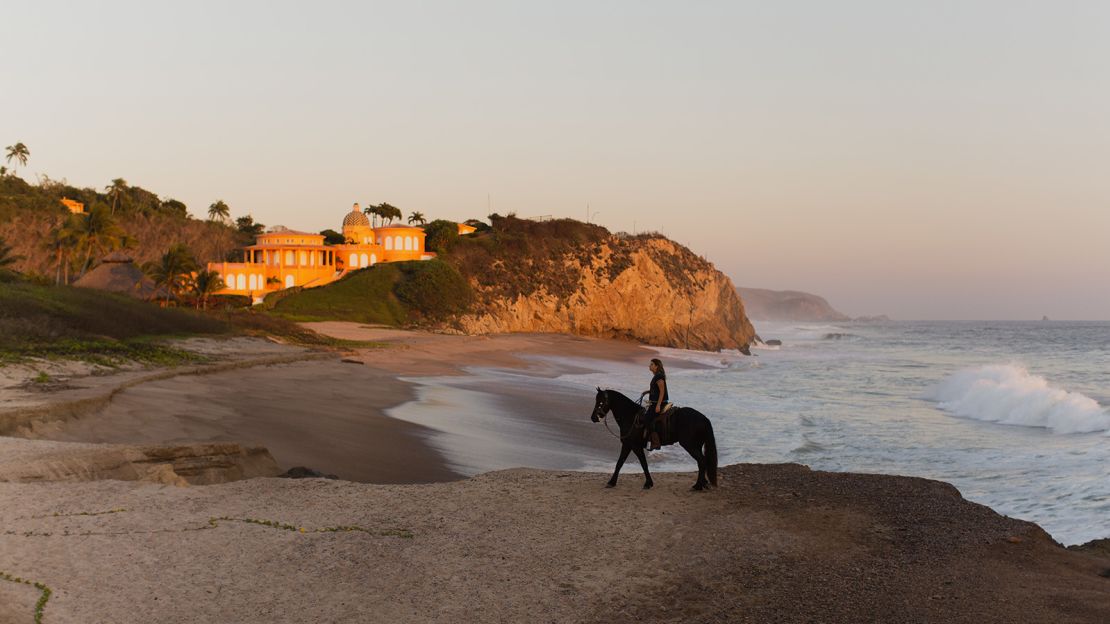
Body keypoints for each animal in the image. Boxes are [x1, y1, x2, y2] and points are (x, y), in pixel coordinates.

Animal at [590, 386, 719, 488]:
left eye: (600, 401)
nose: (593, 418)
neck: (631, 417)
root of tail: (704, 418)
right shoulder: (628, 445)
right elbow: (620, 463)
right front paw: (612, 482)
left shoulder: (634, 446)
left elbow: (642, 464)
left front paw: (648, 483)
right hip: (696, 445)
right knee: (702, 462)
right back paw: (703, 483)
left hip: (690, 445)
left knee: (701, 461)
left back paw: (698, 486)